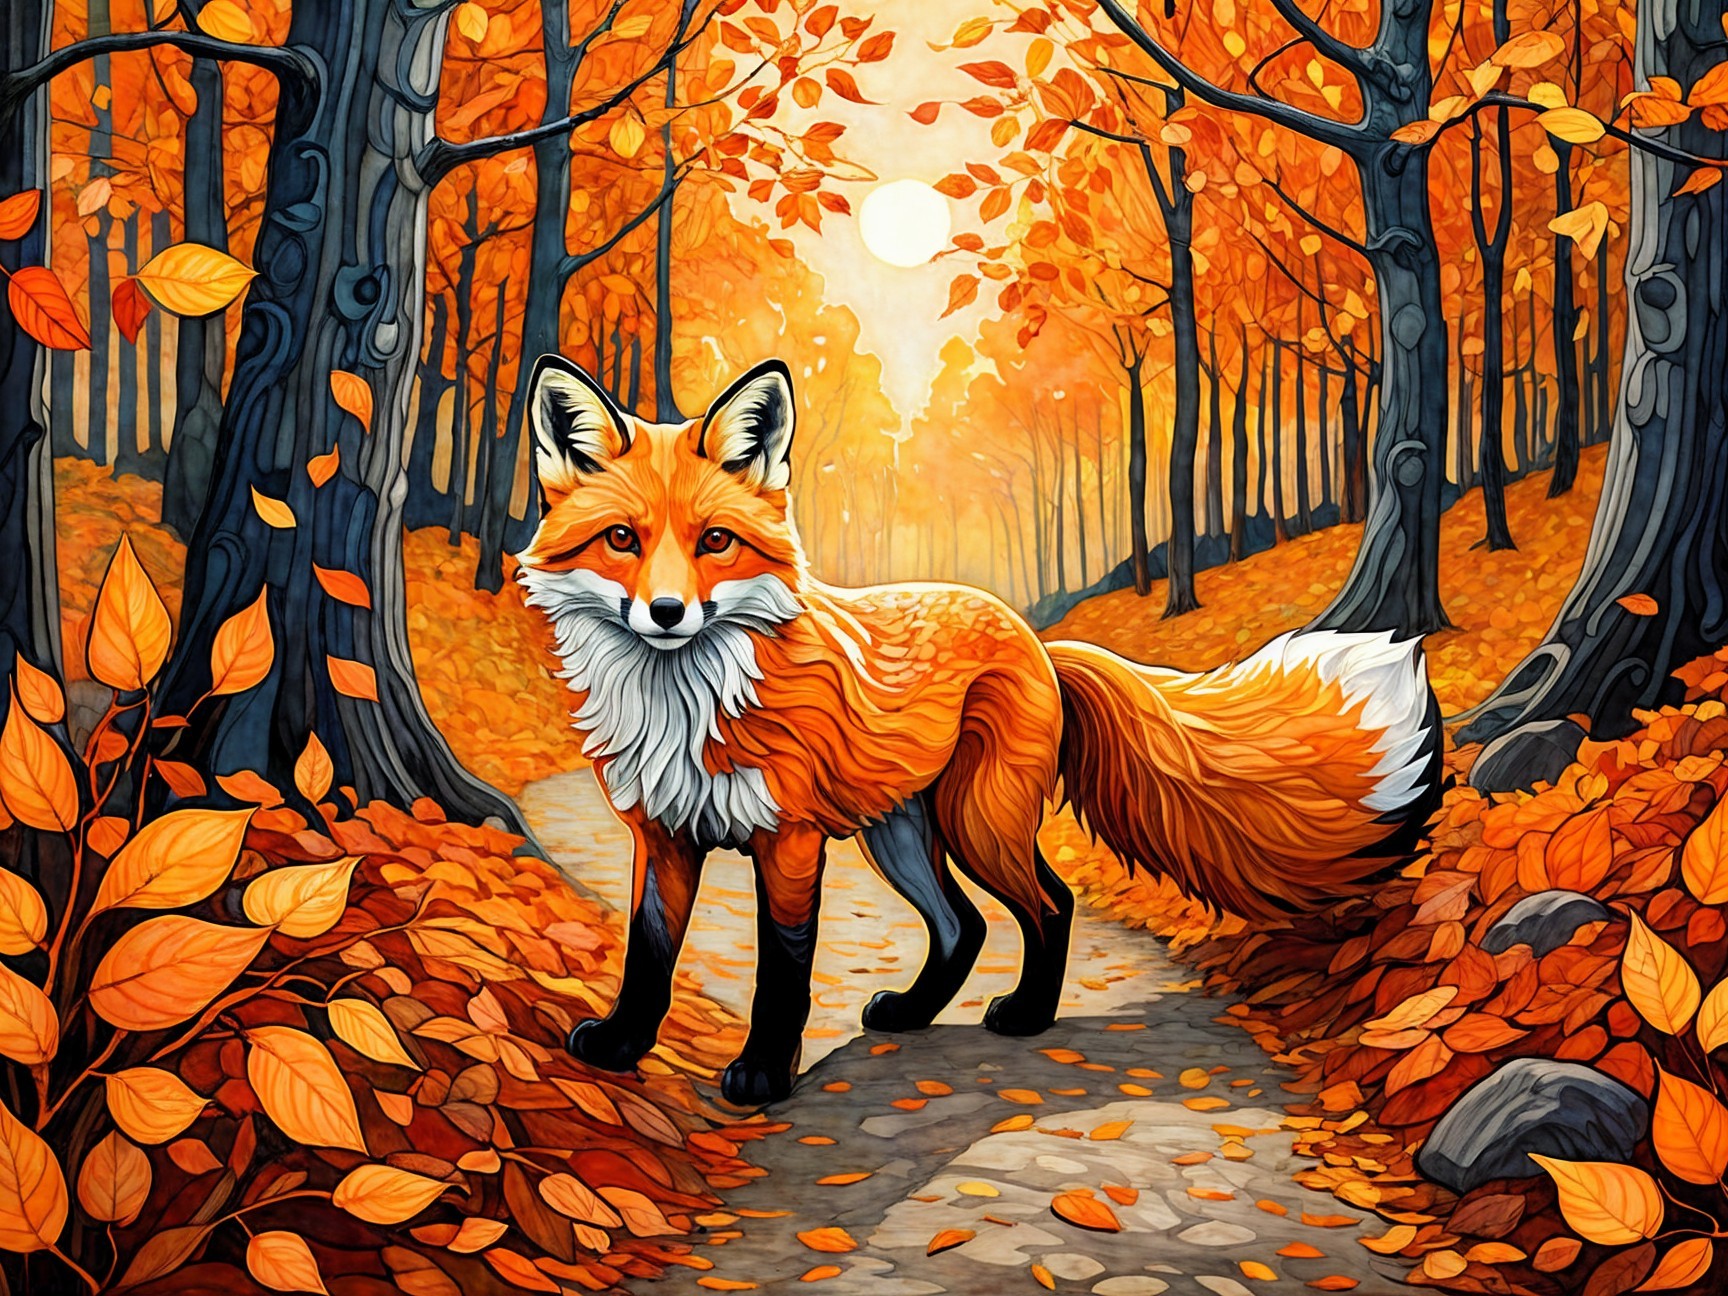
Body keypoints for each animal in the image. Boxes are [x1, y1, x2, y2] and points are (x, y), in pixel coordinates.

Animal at [516, 353, 1444, 1105]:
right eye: (621, 539)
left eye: (715, 542)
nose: (668, 612)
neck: (683, 705)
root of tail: (1037, 638)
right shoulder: (663, 834)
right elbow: (647, 955)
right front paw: (622, 1047)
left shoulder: (790, 841)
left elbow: (782, 969)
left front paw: (763, 1074)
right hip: (901, 832)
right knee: (962, 925)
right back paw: (913, 1012)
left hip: (976, 821)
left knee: (1048, 904)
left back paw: (1029, 1015)